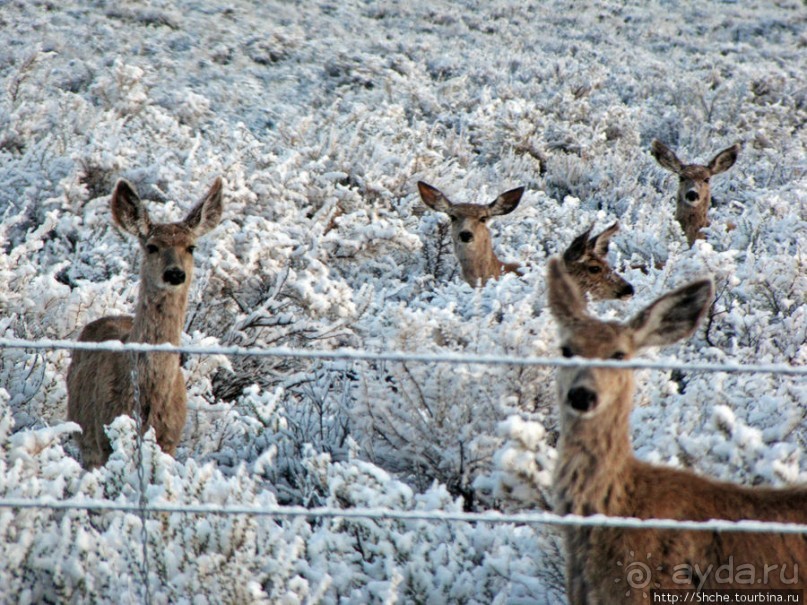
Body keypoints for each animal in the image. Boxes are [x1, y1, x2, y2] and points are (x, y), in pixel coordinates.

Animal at [66, 175, 223, 468]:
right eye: (152, 247)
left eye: (191, 247)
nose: (175, 273)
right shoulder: (105, 437)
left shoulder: (170, 441)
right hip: (84, 438)